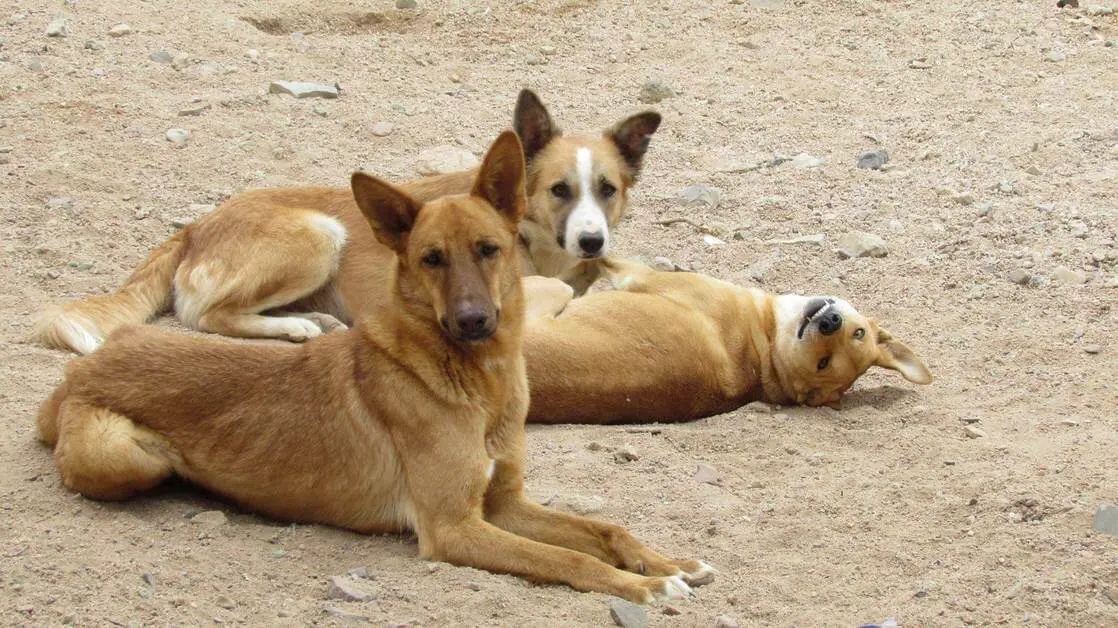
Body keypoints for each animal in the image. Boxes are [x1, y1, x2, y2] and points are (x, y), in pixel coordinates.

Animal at [34, 88, 661, 355]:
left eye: (607, 190)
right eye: (559, 190)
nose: (591, 239)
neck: (534, 239)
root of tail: (196, 225)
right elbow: (562, 288)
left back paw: (309, 319)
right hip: (319, 236)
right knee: (205, 315)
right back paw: (294, 328)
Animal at [34, 132, 706, 603]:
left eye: (489, 249)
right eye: (431, 258)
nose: (472, 322)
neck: (477, 383)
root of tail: (73, 377)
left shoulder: (505, 504)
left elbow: (604, 529)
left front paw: (665, 562)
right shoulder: (454, 528)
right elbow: (572, 559)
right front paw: (641, 586)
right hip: (128, 454)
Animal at [523, 257, 934, 422]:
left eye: (824, 363)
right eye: (858, 331)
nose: (831, 321)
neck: (764, 348)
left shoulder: (639, 275)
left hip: (549, 289)